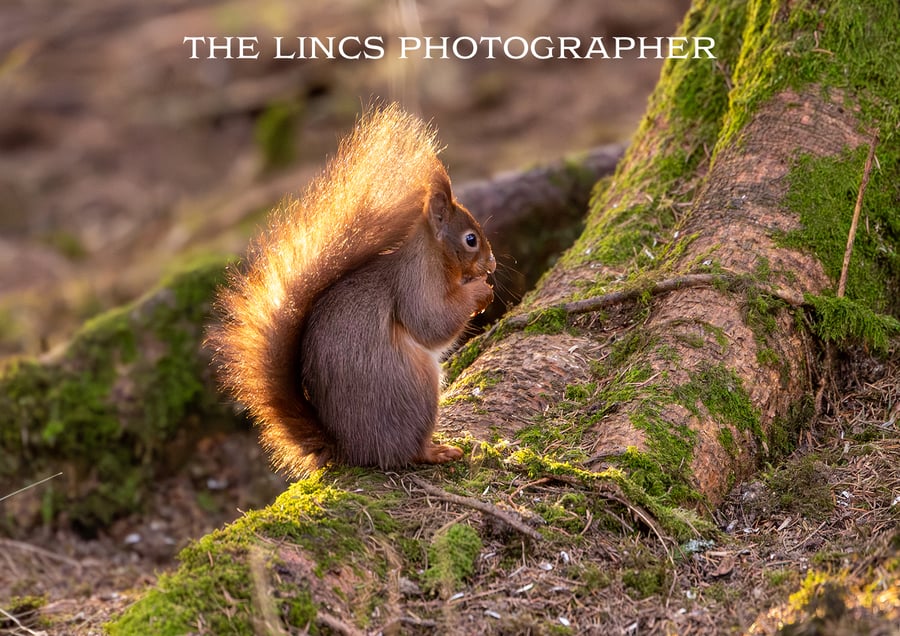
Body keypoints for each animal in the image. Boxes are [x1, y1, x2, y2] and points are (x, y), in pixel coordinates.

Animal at [207, 104, 496, 477]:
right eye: (470, 239)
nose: (492, 265)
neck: (433, 254)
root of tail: (351, 449)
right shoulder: (417, 283)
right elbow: (432, 322)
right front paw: (479, 291)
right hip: (415, 387)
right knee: (408, 452)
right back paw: (434, 451)